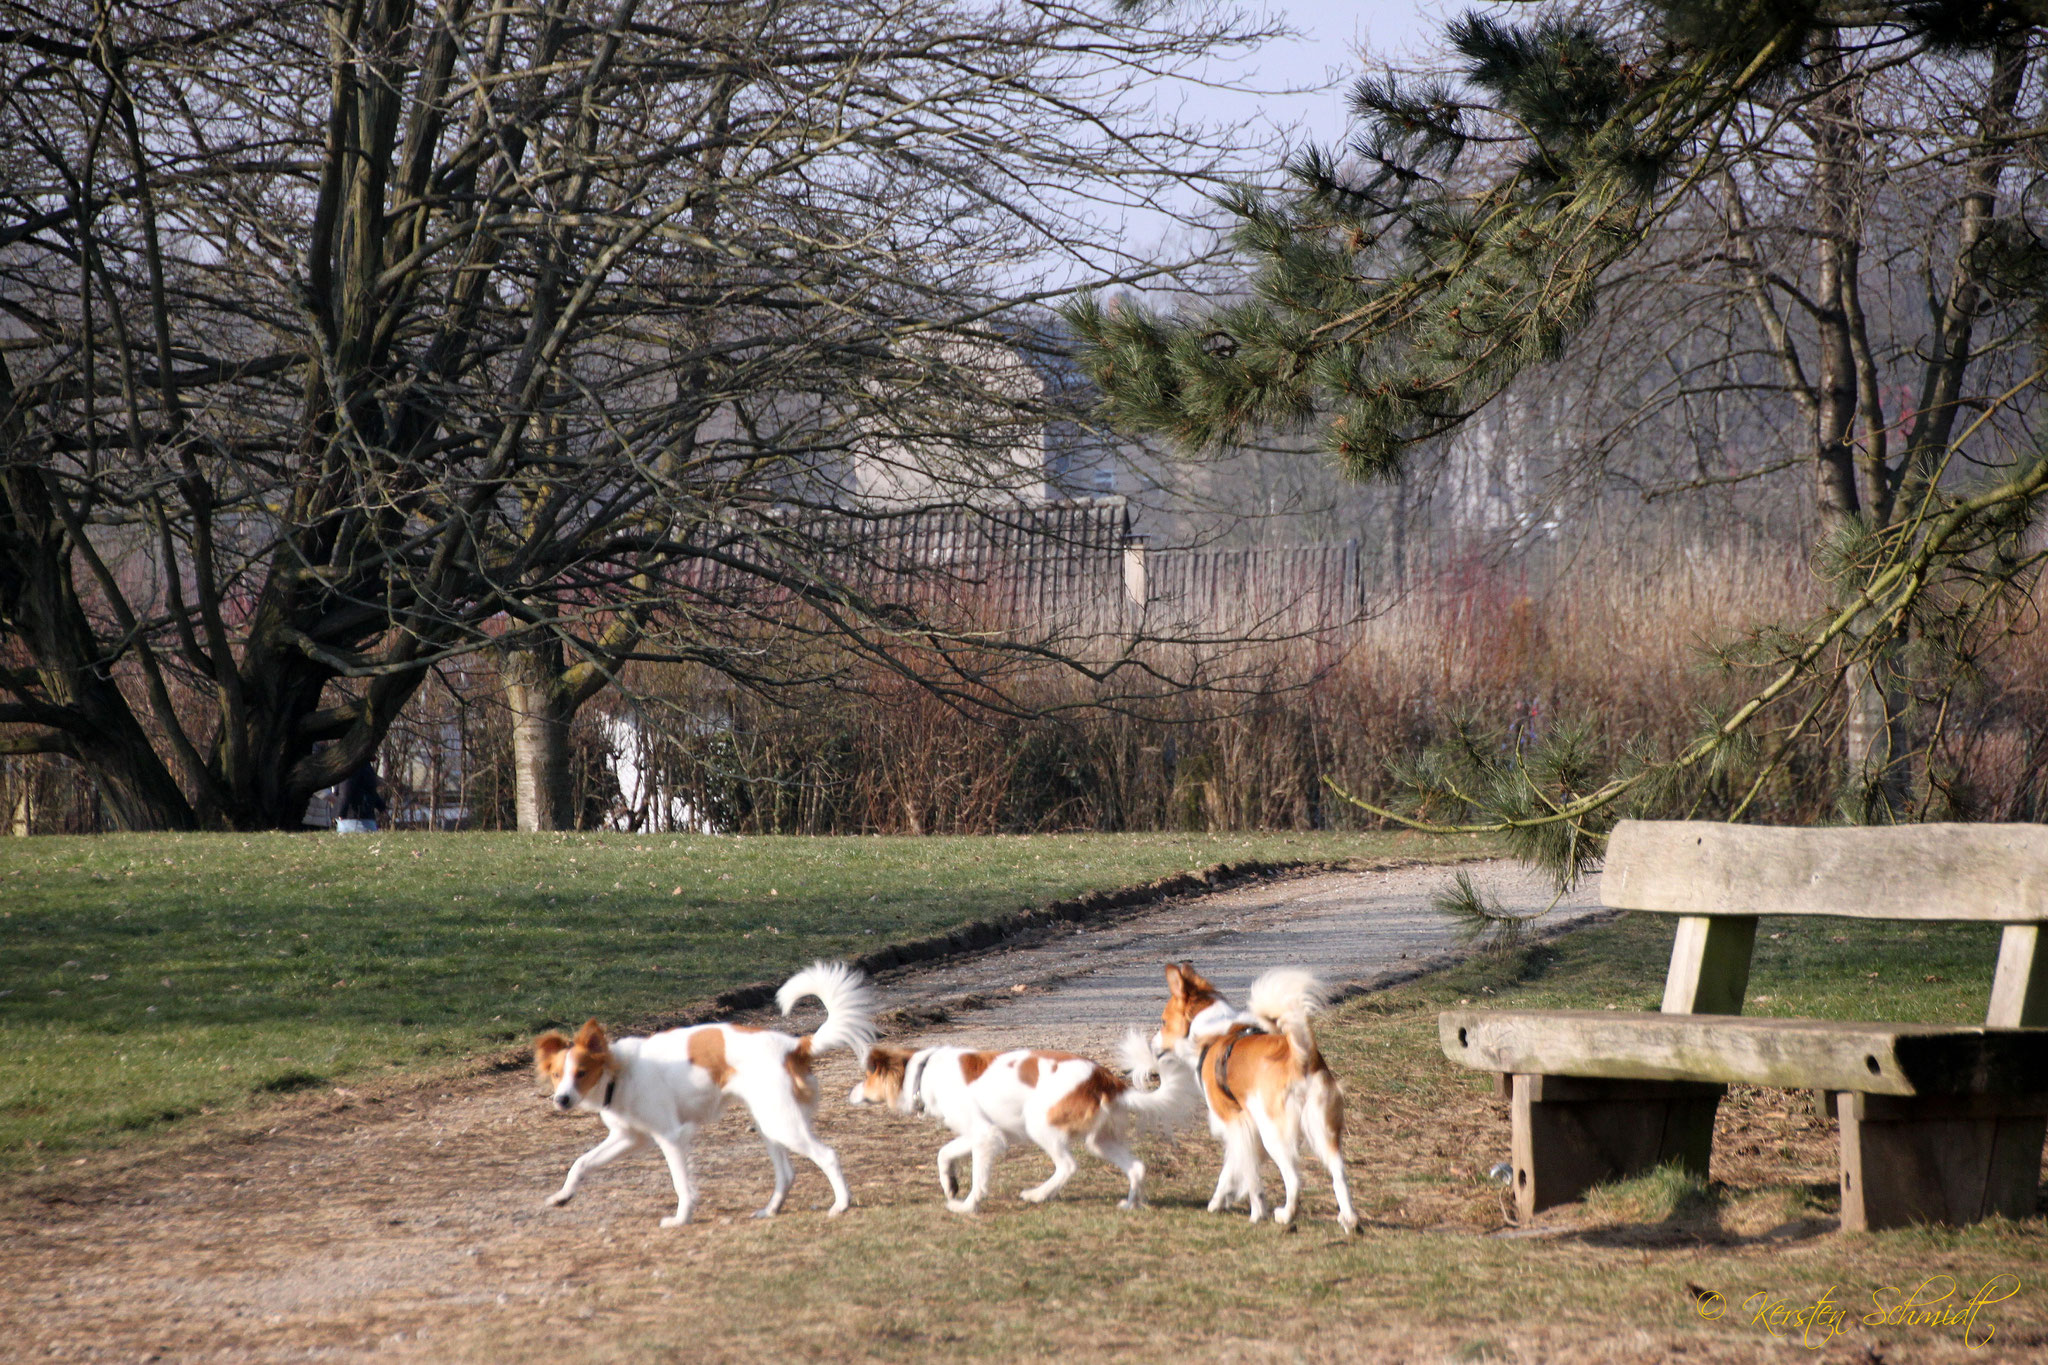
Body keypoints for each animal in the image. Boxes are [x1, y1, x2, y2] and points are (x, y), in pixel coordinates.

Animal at [532, 961, 876, 1227]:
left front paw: (681, 1219)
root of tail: (795, 1045)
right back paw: (770, 1210)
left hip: (782, 1124)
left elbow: (681, 1184)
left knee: (827, 1156)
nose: (561, 1100)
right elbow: (581, 1163)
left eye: (581, 1073)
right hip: (769, 1124)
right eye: (557, 1075)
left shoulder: (670, 1137)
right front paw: (563, 1196)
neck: (619, 1073)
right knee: (787, 1174)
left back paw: (841, 1205)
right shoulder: (629, 1137)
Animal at [847, 1031, 1196, 1211]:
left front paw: (967, 1205)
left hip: (1040, 1125)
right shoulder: (979, 1133)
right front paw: (950, 1184)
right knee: (1136, 1167)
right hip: (1100, 1142)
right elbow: (944, 1154)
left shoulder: (985, 1136)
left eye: (866, 1077)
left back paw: (1038, 1195)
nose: (851, 1093)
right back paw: (1130, 1205)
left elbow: (978, 1179)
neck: (922, 1071)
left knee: (1068, 1166)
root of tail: (1104, 1078)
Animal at [1155, 961, 1359, 1236]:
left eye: (1163, 1022)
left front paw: (1256, 1212)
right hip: (1324, 1131)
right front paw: (1218, 1201)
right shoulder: (1242, 1128)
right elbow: (1231, 1169)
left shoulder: (1236, 1122)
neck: (1212, 1033)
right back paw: (1349, 1220)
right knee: (1339, 1174)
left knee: (1294, 1178)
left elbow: (1249, 1176)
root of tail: (1300, 1057)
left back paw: (1286, 1215)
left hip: (1273, 1133)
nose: (1153, 1045)